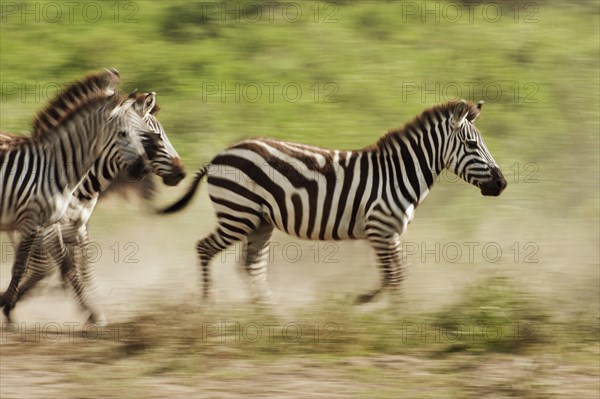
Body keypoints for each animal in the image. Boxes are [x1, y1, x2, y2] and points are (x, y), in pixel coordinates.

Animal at [0, 92, 185, 326]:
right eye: (152, 138)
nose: (180, 172)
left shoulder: (77, 224)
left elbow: (83, 266)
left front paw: (92, 308)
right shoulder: (46, 225)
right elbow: (50, 266)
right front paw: (8, 303)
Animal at [162, 99, 508, 304]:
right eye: (472, 145)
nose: (502, 183)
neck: (398, 173)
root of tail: (219, 156)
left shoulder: (391, 233)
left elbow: (397, 276)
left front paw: (376, 306)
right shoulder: (380, 229)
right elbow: (392, 278)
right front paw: (384, 312)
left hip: (259, 221)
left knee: (251, 266)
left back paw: (270, 314)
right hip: (238, 214)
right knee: (205, 249)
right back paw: (209, 305)